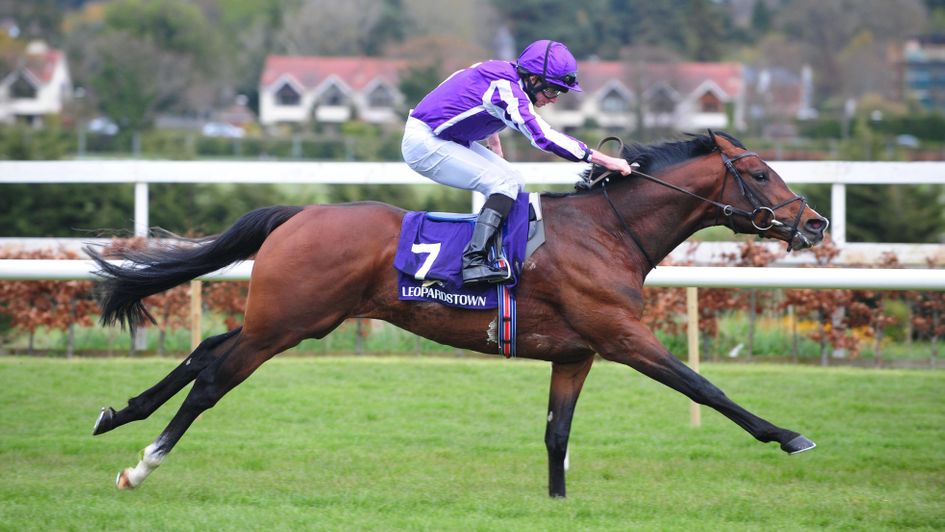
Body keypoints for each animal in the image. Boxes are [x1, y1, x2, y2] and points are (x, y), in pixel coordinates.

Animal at [87, 130, 828, 498]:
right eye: (758, 173)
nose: (815, 224)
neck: (607, 231)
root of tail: (300, 212)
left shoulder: (575, 353)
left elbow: (557, 434)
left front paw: (557, 504)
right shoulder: (620, 336)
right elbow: (704, 386)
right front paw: (789, 435)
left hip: (290, 317)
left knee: (206, 349)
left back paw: (117, 414)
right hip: (289, 323)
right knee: (213, 379)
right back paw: (141, 466)